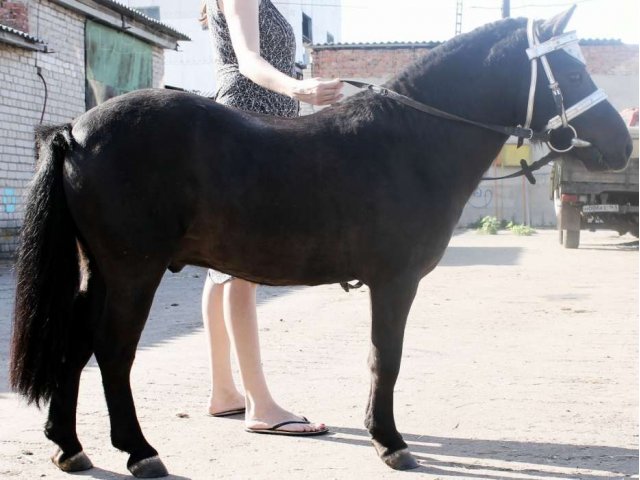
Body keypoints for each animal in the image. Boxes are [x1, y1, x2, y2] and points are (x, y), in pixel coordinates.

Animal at [8, 8, 632, 480]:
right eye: (571, 71)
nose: (622, 144)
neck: (411, 142)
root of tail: (76, 131)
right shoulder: (394, 282)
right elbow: (386, 357)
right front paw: (389, 441)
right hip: (133, 273)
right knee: (112, 351)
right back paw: (139, 451)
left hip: (103, 271)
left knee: (75, 343)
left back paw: (69, 446)